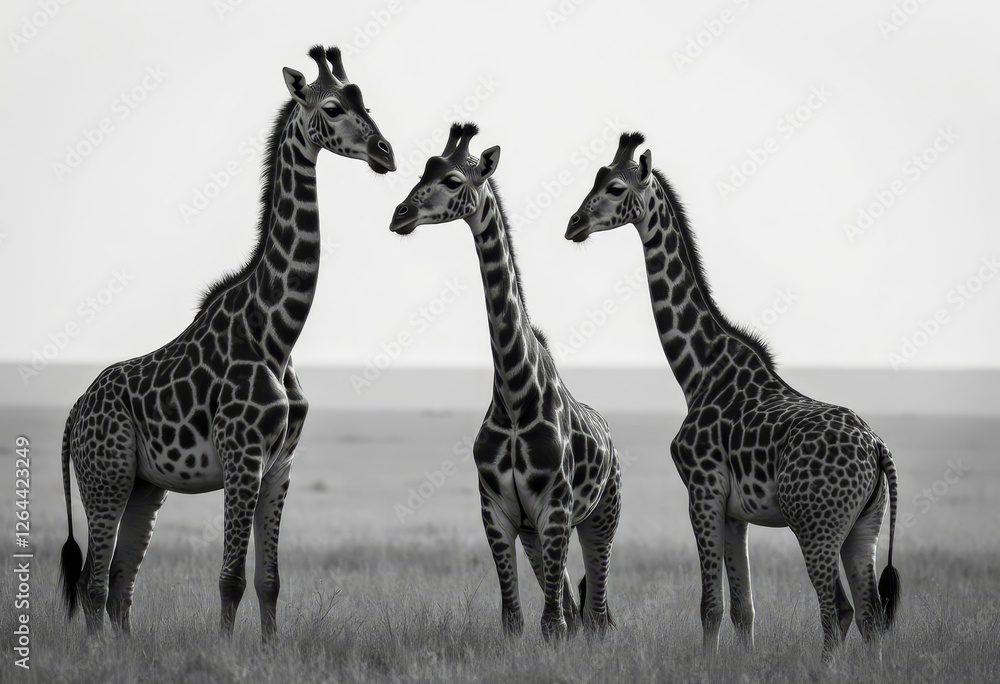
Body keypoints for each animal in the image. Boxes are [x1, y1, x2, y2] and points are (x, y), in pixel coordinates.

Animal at [58, 45, 395, 640]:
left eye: (367, 105)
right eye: (332, 108)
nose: (386, 153)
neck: (277, 335)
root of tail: (76, 411)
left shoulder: (280, 466)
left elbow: (270, 580)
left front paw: (269, 648)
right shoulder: (243, 457)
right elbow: (230, 578)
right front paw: (224, 649)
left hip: (145, 485)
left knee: (121, 581)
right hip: (106, 476)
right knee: (95, 583)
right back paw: (97, 651)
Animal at [389, 124, 622, 640]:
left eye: (453, 180)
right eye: (422, 171)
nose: (400, 215)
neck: (516, 398)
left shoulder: (555, 508)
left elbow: (552, 623)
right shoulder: (497, 511)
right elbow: (514, 619)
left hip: (601, 515)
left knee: (595, 609)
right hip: (537, 531)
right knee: (573, 604)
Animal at [564, 133, 900, 661]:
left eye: (616, 188)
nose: (573, 225)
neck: (697, 371)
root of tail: (876, 448)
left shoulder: (702, 490)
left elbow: (710, 606)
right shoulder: (734, 511)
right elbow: (744, 609)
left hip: (816, 524)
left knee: (838, 612)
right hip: (862, 526)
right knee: (867, 614)